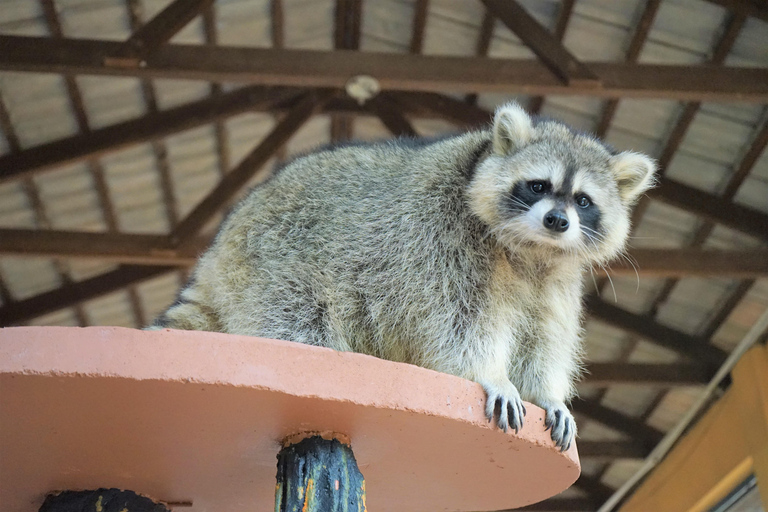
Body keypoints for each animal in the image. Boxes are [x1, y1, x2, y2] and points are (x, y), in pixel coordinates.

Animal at [152, 102, 656, 450]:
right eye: (538, 186)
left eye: (583, 200)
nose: (557, 220)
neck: (528, 249)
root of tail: (221, 245)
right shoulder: (441, 239)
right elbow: (459, 322)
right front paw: (491, 373)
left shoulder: (557, 275)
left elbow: (544, 337)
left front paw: (546, 393)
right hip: (274, 261)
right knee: (298, 322)